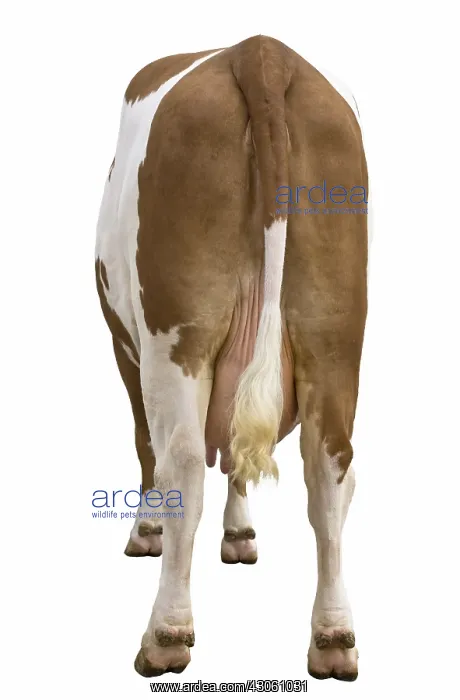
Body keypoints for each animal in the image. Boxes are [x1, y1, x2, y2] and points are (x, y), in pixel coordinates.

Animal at [95, 35, 369, 681]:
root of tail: (260, 51)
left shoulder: (127, 345)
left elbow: (147, 443)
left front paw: (147, 529)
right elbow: (242, 452)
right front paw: (240, 533)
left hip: (178, 333)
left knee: (182, 461)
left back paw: (166, 634)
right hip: (335, 334)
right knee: (330, 468)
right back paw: (333, 637)